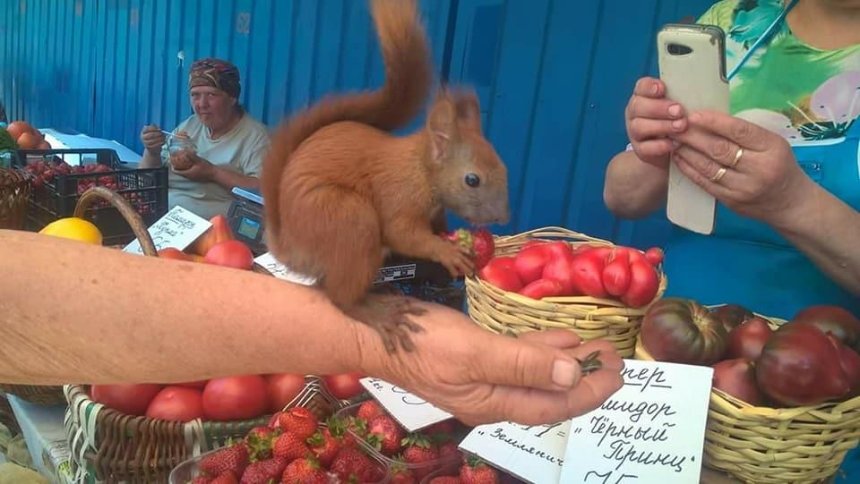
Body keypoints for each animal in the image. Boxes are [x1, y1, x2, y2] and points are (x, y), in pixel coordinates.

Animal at [258, 0, 508, 352]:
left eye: (503, 166)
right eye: (472, 180)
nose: (504, 216)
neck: (421, 170)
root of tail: (291, 246)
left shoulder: (433, 210)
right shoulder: (399, 195)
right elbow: (403, 233)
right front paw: (446, 251)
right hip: (348, 218)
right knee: (339, 296)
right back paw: (378, 312)